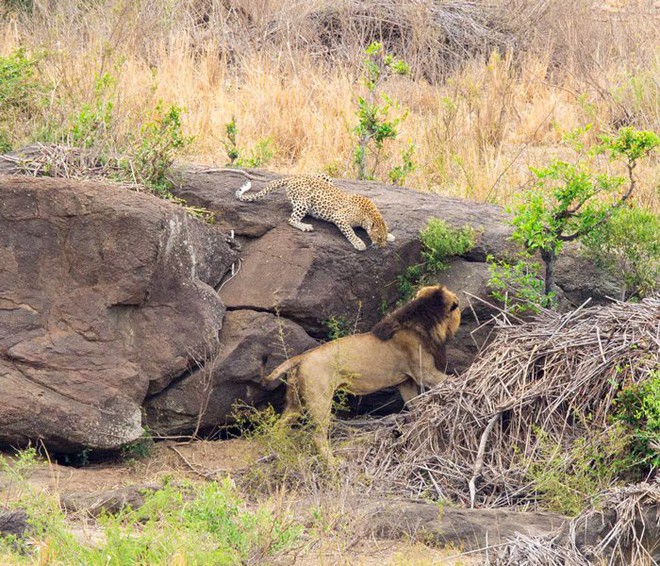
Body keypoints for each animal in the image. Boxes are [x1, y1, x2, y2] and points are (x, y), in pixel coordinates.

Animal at [236, 174, 394, 252]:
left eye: (383, 238)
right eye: (379, 238)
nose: (383, 247)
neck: (369, 214)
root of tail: (293, 177)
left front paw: (391, 235)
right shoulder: (339, 217)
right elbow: (351, 232)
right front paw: (359, 243)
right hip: (303, 202)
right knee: (291, 219)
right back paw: (305, 226)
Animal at [260, 286, 462, 464]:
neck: (422, 322)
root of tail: (302, 357)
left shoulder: (406, 381)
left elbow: (415, 403)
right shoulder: (424, 373)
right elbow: (450, 380)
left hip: (294, 404)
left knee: (278, 428)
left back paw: (275, 451)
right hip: (320, 401)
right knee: (318, 436)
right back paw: (333, 464)